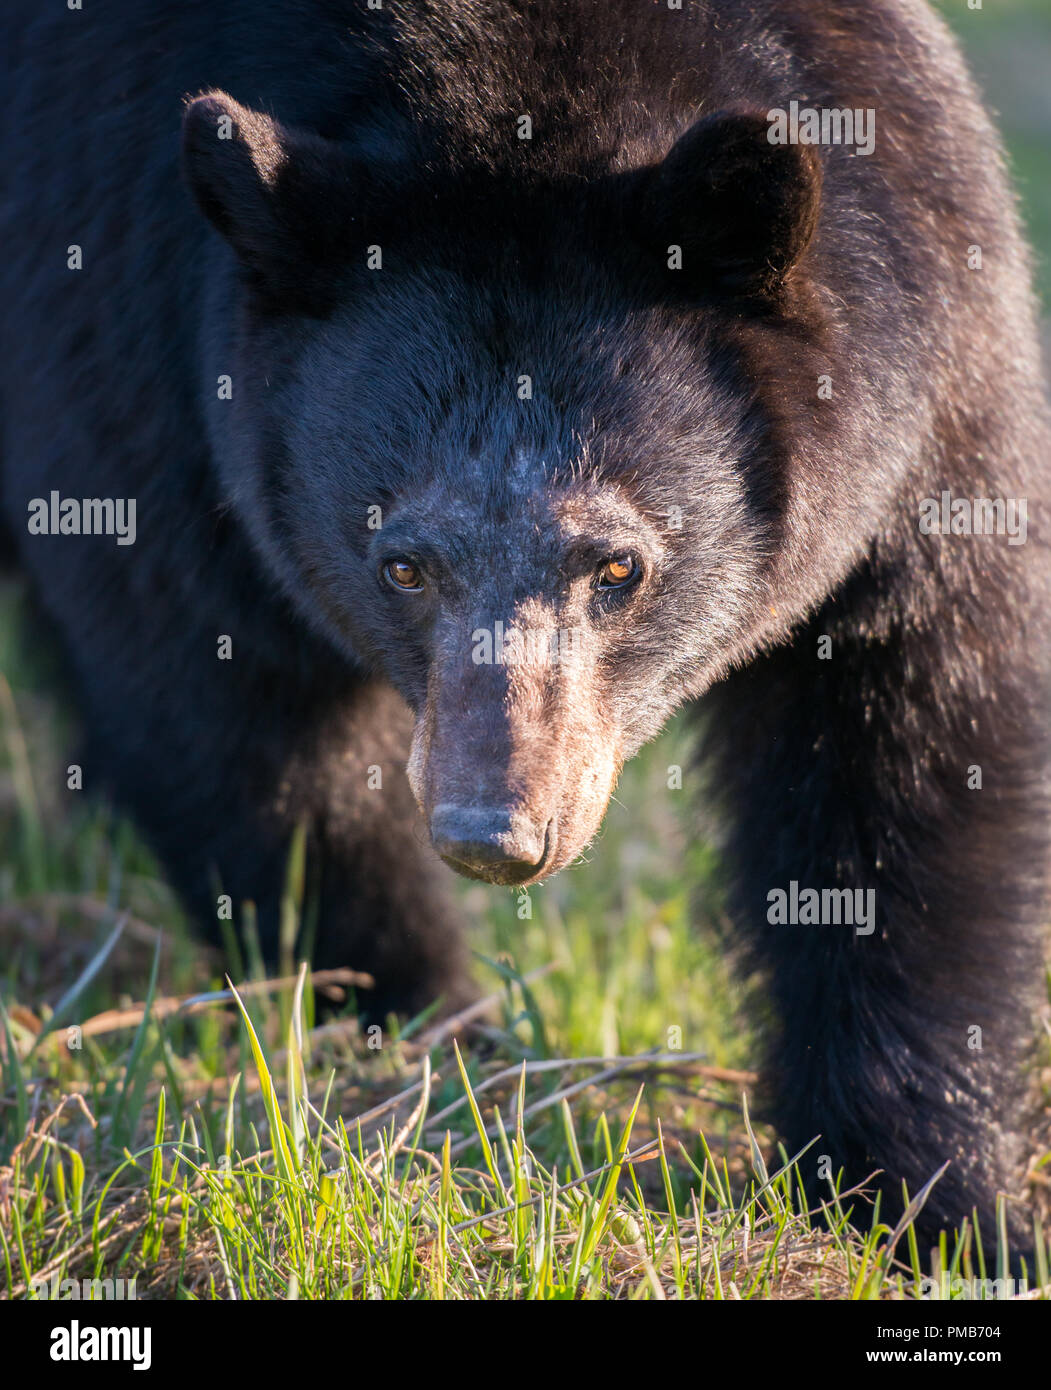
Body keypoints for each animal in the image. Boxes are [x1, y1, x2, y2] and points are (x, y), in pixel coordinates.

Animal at [2, 0, 1048, 1254]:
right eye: (402, 562)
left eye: (618, 564)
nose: (495, 830)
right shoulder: (123, 320)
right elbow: (224, 705)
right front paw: (427, 1032)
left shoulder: (929, 342)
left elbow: (911, 725)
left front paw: (933, 1197)